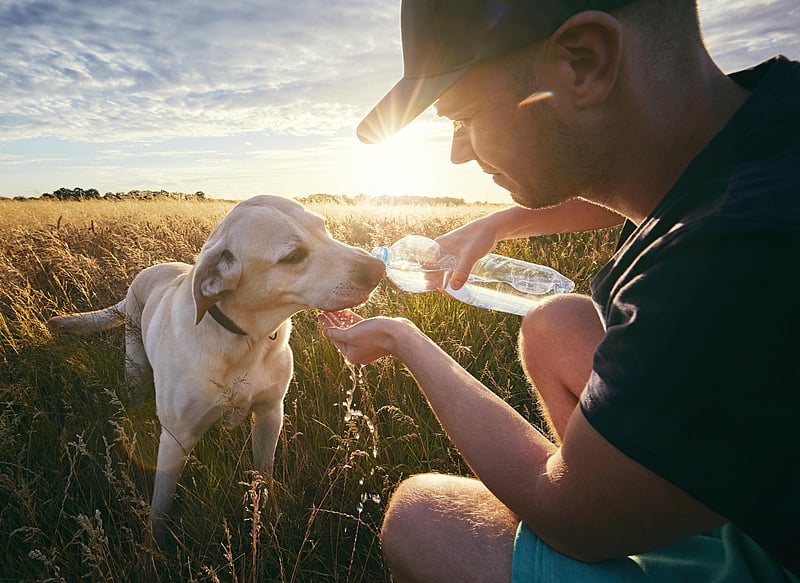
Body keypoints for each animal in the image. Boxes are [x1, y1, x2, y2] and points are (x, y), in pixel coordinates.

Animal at [47, 195, 388, 532]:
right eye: (293, 256)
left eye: (324, 227)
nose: (378, 268)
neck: (245, 340)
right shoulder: (176, 438)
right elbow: (160, 506)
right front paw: (153, 546)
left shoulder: (270, 413)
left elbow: (265, 474)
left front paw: (271, 516)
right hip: (135, 365)